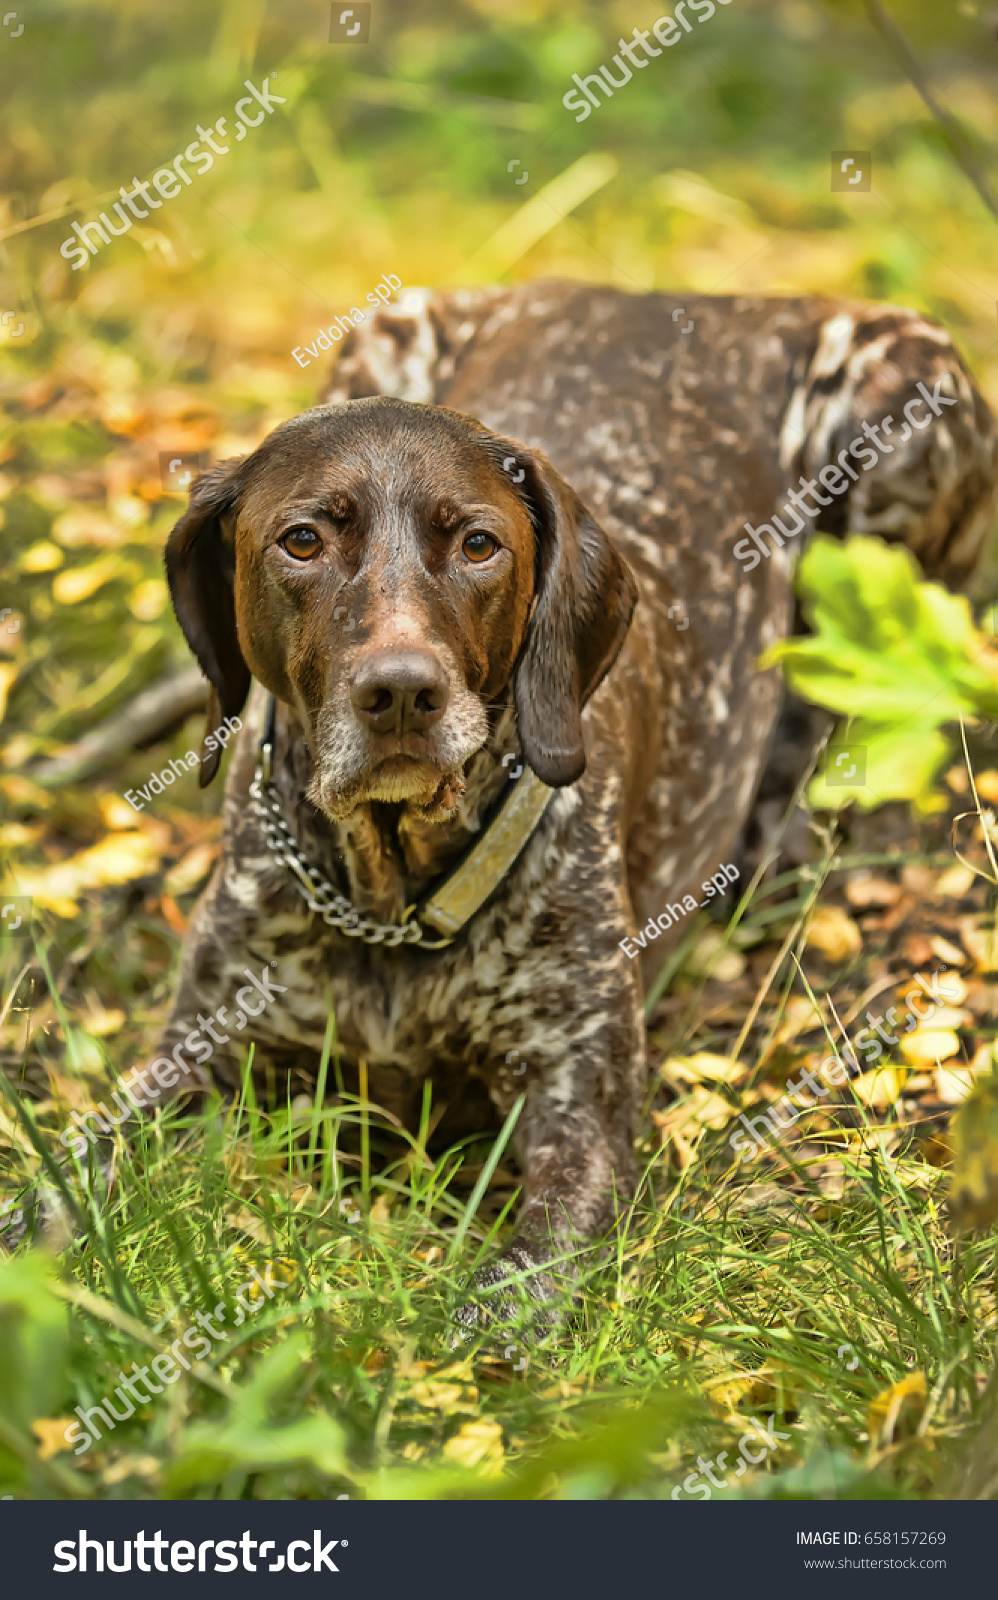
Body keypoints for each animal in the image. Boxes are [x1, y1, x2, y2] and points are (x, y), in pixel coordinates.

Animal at [138, 281, 991, 1318]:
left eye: (478, 544)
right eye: (302, 540)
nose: (402, 693)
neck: (393, 896)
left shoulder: (576, 1117)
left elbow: (496, 1313)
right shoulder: (194, 1060)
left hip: (904, 405)